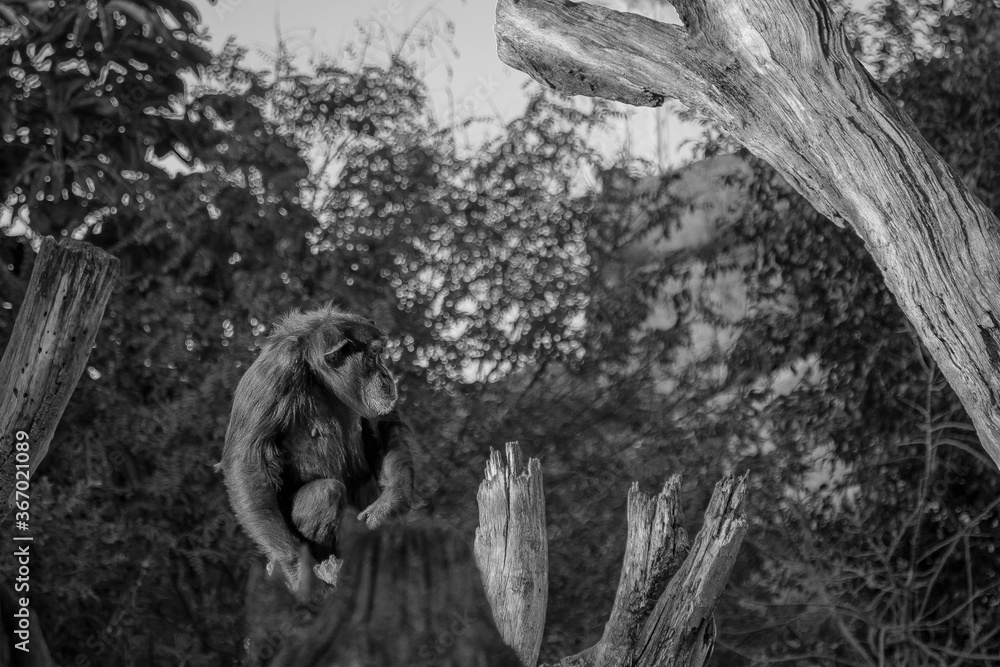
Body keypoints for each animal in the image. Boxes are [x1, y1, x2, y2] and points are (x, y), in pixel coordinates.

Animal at [218, 305, 414, 590]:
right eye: (372, 356)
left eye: (380, 354)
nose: (386, 373)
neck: (318, 375)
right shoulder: (272, 373)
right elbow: (248, 459)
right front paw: (295, 567)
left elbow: (382, 423)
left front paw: (388, 507)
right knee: (325, 492)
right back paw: (325, 566)